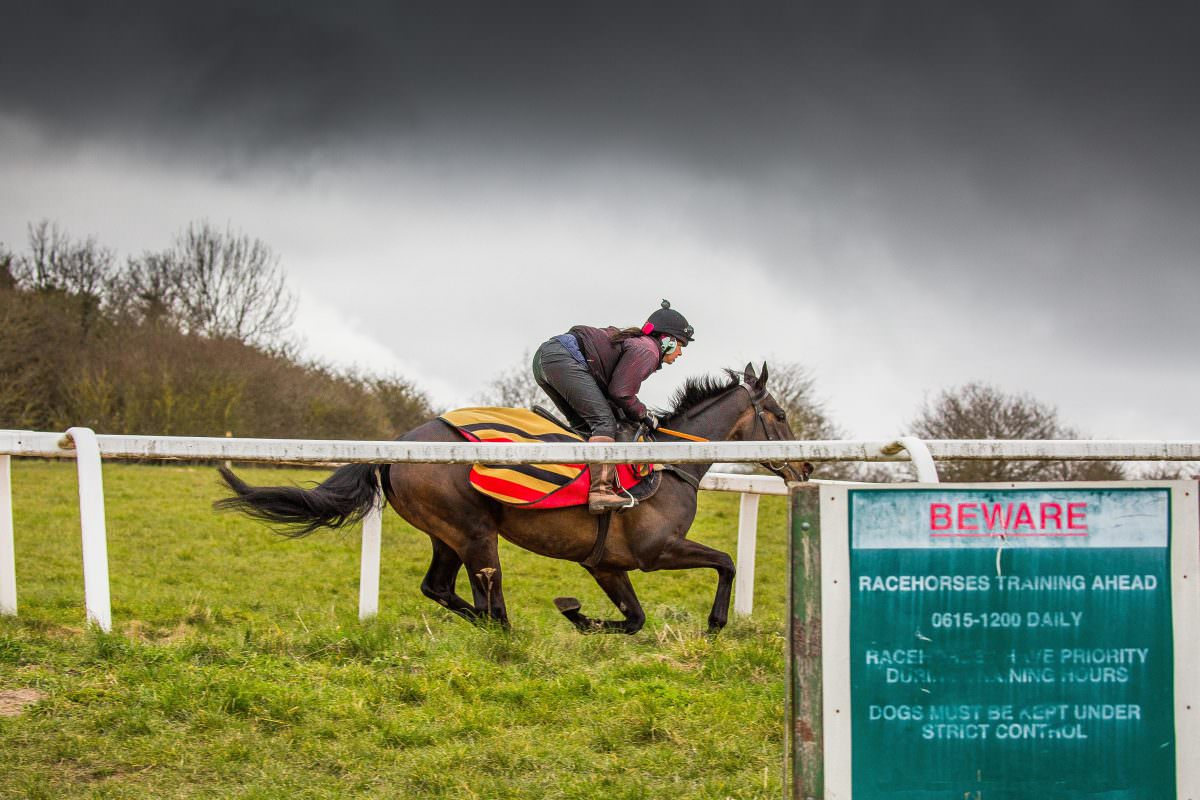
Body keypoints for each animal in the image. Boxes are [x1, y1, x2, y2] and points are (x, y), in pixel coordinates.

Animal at [216, 362, 806, 633]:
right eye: (779, 414)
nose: (806, 465)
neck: (667, 464)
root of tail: (396, 446)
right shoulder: (654, 551)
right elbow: (727, 561)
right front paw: (717, 622)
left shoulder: (607, 564)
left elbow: (634, 618)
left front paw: (576, 614)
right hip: (475, 532)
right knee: (489, 600)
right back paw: (504, 633)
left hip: (448, 534)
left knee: (441, 589)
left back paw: (488, 624)